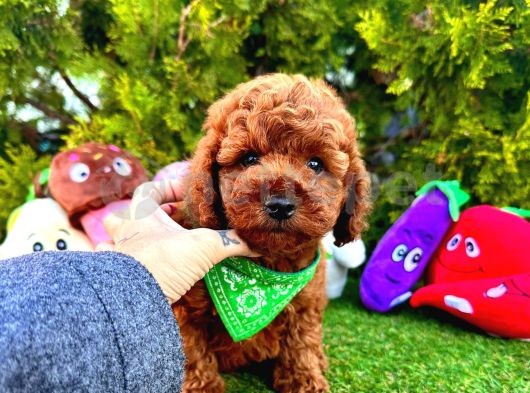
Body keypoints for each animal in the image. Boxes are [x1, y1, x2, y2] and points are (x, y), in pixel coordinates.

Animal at [171, 73, 370, 392]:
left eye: (315, 163)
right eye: (249, 159)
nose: (280, 204)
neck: (269, 265)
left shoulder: (305, 304)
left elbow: (301, 344)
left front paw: (305, 380)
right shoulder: (186, 308)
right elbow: (191, 351)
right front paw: (202, 387)